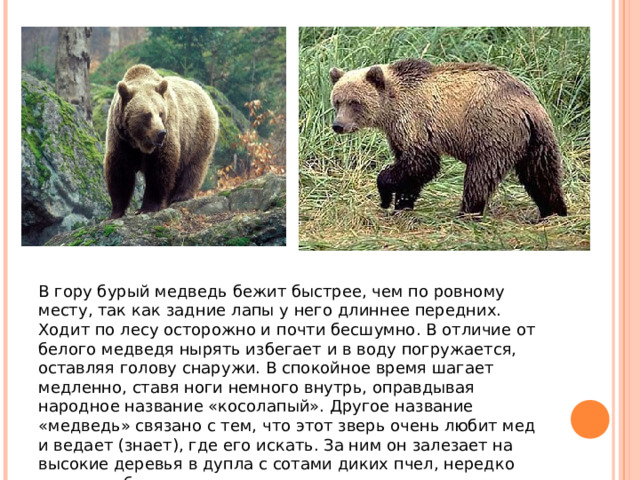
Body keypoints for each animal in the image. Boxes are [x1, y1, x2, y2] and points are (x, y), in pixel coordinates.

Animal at [104, 64, 219, 219]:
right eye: (147, 115)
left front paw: (147, 207)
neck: (138, 142)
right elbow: (120, 170)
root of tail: (205, 93)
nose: (161, 133)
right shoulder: (121, 139)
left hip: (196, 136)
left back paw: (180, 195)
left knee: (193, 167)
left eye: (161, 113)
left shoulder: (168, 132)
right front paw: (116, 212)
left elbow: (160, 168)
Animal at [329, 59, 567, 218]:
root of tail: (528, 105)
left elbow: (422, 163)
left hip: (493, 132)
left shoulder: (414, 121)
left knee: (479, 176)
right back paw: (554, 211)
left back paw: (466, 213)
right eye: (337, 101)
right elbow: (409, 167)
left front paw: (386, 195)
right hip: (537, 139)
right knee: (542, 174)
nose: (338, 125)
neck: (391, 108)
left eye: (355, 102)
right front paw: (403, 203)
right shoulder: (397, 133)